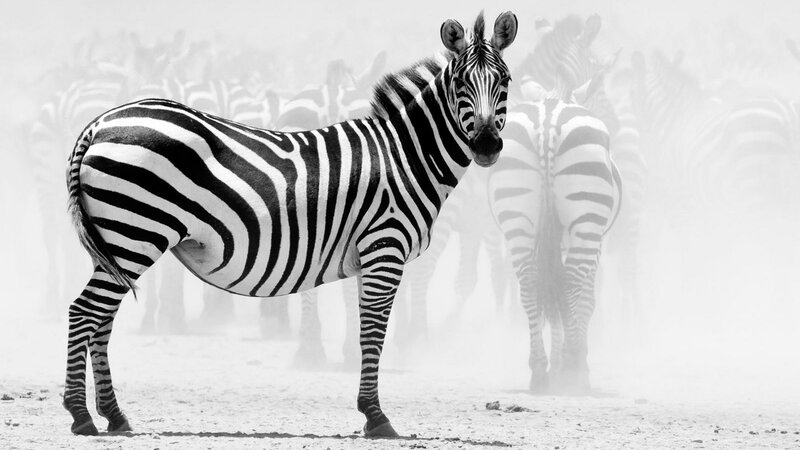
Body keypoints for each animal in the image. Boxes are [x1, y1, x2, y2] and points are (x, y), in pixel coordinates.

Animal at [62, 11, 518, 437]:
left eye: (506, 80)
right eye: (460, 83)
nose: (486, 146)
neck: (404, 155)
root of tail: (100, 123)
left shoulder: (369, 256)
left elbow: (365, 327)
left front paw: (369, 409)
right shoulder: (384, 248)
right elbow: (374, 331)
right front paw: (375, 416)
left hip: (118, 242)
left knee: (102, 318)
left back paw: (114, 415)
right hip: (135, 233)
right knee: (83, 311)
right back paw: (81, 415)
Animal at [490, 94, 621, 392]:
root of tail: (547, 120)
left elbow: (551, 303)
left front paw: (556, 364)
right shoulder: (596, 245)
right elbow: (585, 301)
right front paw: (569, 363)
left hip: (516, 214)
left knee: (530, 285)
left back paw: (539, 371)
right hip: (586, 217)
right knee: (570, 283)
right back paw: (574, 369)